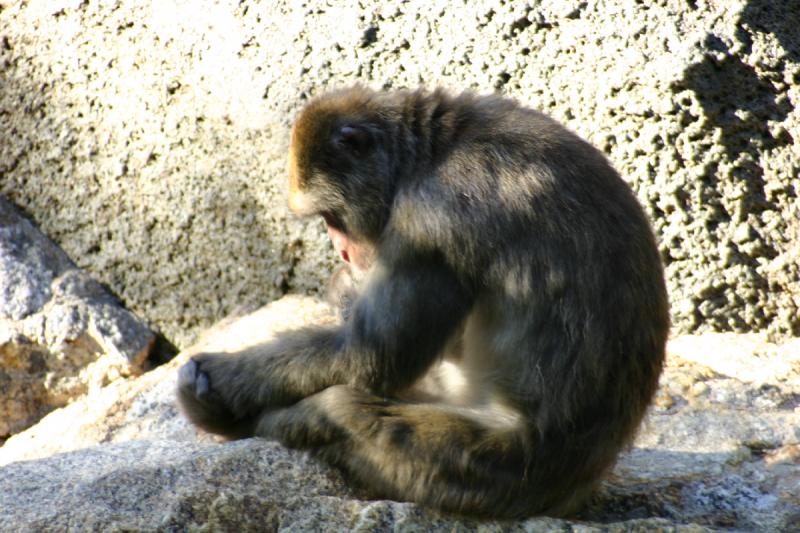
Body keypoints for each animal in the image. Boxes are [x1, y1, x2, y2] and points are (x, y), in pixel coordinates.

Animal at [178, 86, 672, 516]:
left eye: (331, 217)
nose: (341, 250)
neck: (429, 154)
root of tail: (582, 485)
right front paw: (344, 287)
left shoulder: (430, 219)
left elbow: (374, 357)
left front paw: (218, 378)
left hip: (486, 474)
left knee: (345, 408)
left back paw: (239, 421)